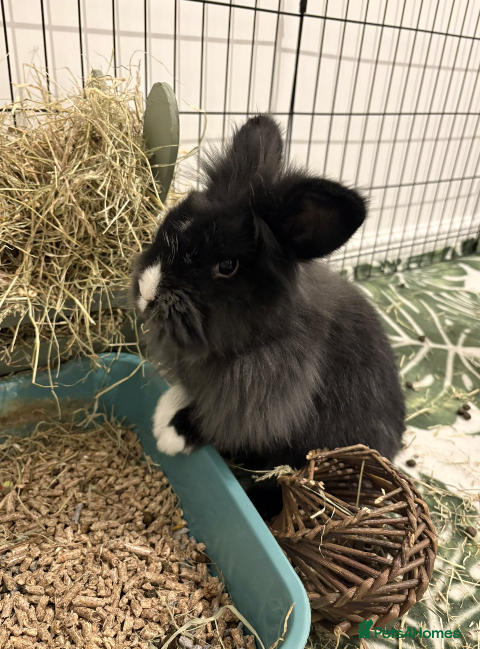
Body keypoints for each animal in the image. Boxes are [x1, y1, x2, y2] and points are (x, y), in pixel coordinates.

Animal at [132, 114, 405, 519]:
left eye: (227, 266)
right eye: (169, 222)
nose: (146, 293)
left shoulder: (261, 402)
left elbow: (220, 420)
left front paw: (170, 432)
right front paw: (165, 410)